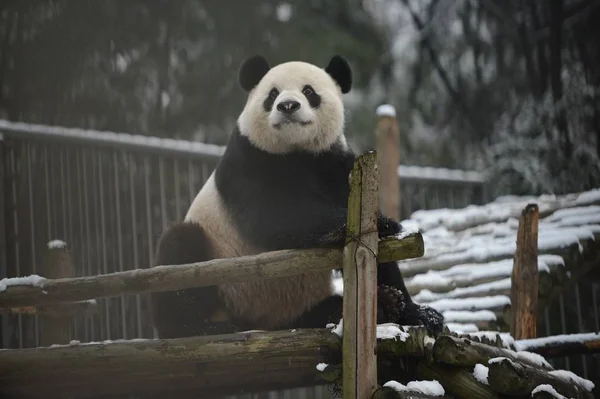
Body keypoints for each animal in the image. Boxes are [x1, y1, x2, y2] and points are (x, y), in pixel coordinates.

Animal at [148, 54, 442, 340]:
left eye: (309, 91)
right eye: (272, 94)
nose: (287, 105)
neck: (295, 151)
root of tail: (262, 324)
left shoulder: (335, 165)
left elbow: (382, 256)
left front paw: (418, 313)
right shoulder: (247, 160)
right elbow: (275, 217)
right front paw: (375, 223)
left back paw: (381, 305)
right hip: (220, 277)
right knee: (179, 251)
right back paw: (200, 328)